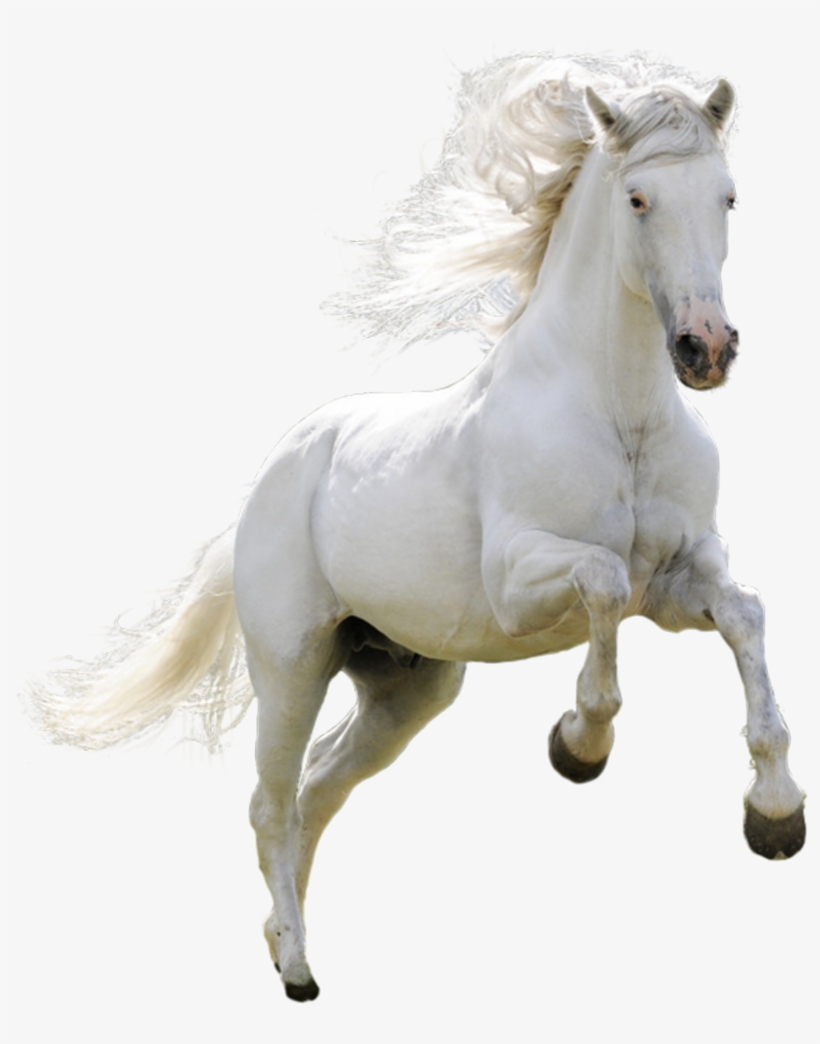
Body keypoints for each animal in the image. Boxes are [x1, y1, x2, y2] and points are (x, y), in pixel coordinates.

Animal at [28, 56, 806, 1003]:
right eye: (638, 198)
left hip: (406, 687)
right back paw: (296, 966)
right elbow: (602, 584)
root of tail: (273, 478)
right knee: (270, 801)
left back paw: (279, 935)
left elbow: (745, 614)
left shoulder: (682, 577)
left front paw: (775, 816)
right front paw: (579, 745)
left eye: (728, 196)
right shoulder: (523, 584)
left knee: (316, 792)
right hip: (292, 667)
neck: (620, 414)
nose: (706, 349)